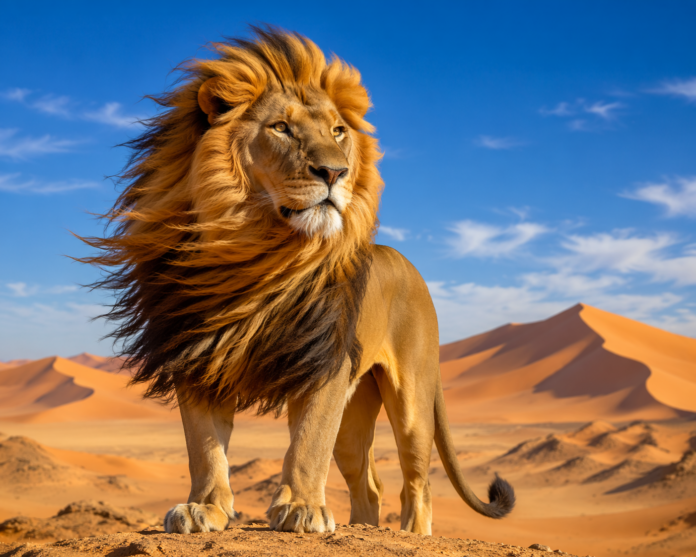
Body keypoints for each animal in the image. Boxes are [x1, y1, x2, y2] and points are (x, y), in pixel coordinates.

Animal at [80, 26, 515, 536]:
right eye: (281, 128)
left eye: (338, 131)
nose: (335, 172)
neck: (253, 252)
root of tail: (408, 264)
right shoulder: (197, 354)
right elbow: (204, 447)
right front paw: (204, 507)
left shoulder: (324, 363)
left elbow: (308, 443)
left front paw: (303, 507)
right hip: (356, 410)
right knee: (368, 485)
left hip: (411, 400)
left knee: (416, 483)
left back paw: (411, 533)